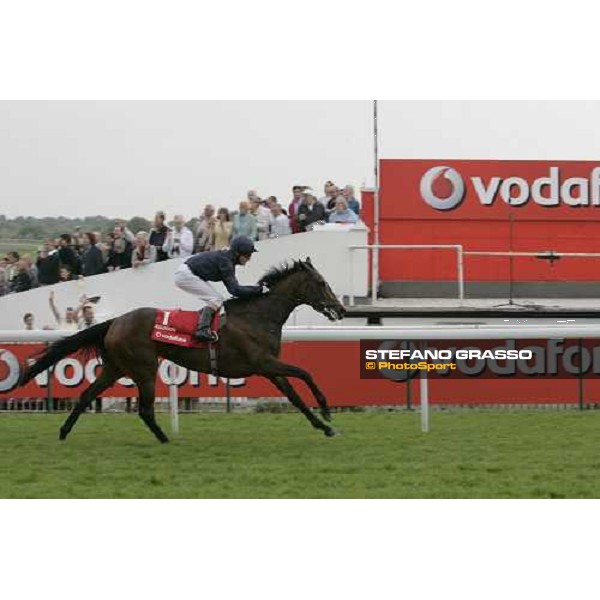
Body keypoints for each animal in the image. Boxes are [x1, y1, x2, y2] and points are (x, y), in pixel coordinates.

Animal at [21, 258, 344, 440]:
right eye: (320, 282)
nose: (340, 309)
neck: (258, 316)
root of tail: (115, 321)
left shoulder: (268, 368)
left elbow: (295, 396)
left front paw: (325, 426)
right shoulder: (263, 363)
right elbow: (305, 373)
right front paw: (327, 410)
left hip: (116, 367)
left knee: (87, 395)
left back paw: (64, 432)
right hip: (144, 368)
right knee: (144, 409)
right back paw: (165, 438)